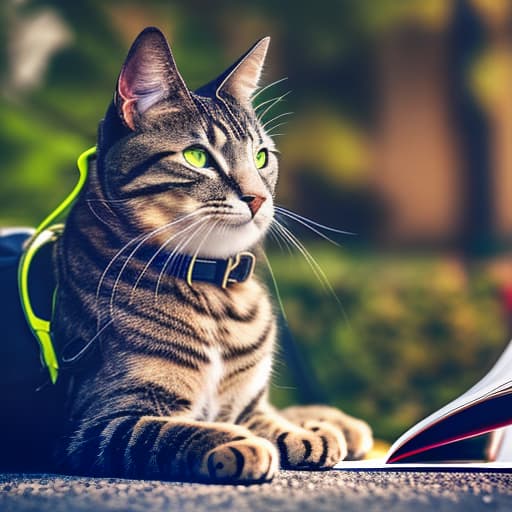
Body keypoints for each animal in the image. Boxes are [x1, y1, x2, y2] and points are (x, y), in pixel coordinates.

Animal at [52, 27, 372, 484]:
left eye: (261, 157)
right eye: (197, 156)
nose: (257, 198)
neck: (218, 294)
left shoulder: (247, 406)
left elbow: (268, 419)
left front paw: (303, 434)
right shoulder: (96, 423)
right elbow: (170, 431)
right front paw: (235, 442)